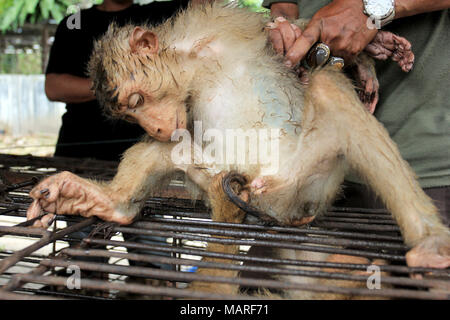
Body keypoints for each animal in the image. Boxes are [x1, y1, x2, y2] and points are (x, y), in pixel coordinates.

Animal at [28, 1, 450, 282]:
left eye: (137, 101)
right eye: (131, 115)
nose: (156, 127)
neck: (194, 63)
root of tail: (273, 198)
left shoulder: (222, 25)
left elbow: (287, 31)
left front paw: (367, 49)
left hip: (308, 180)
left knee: (329, 90)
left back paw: (429, 241)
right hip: (218, 173)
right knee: (170, 152)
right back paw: (108, 202)